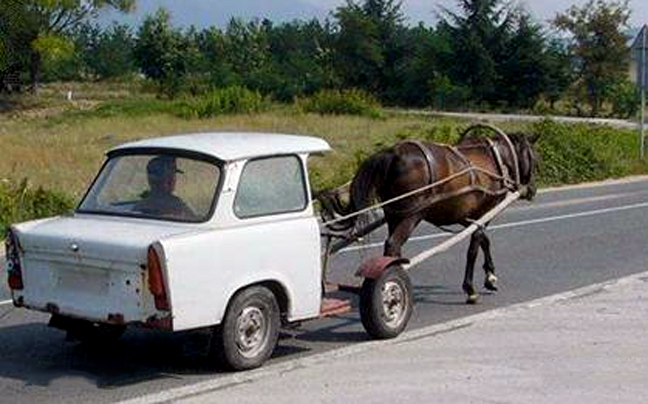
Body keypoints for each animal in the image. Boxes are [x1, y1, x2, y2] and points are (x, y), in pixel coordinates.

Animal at [324, 126, 540, 304]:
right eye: (534, 158)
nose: (532, 189)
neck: (497, 160)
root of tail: (392, 154)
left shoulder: (466, 216)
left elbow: (484, 241)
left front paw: (491, 277)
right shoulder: (484, 212)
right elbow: (474, 248)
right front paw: (471, 289)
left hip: (395, 214)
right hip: (412, 214)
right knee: (393, 244)